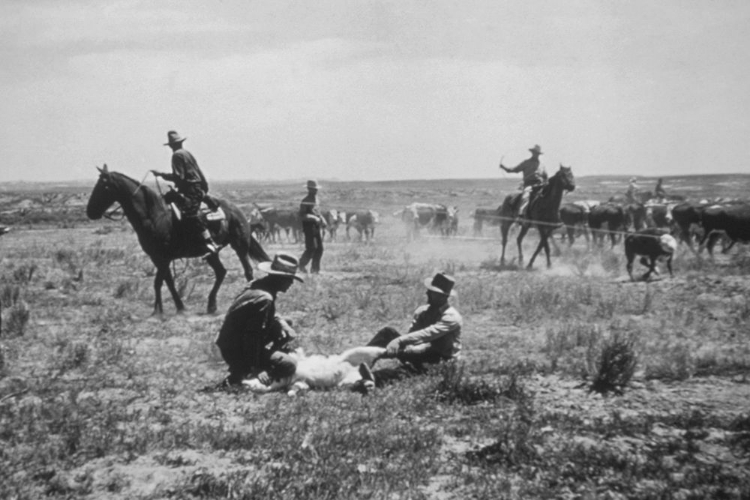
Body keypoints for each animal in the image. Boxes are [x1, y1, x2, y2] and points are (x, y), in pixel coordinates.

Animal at [87, 166, 272, 314]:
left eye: (103, 186)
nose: (90, 212)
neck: (155, 217)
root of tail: (237, 210)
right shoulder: (157, 258)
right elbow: (168, 281)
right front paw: (179, 307)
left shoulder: (163, 258)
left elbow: (158, 282)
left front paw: (158, 310)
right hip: (211, 254)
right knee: (221, 272)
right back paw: (211, 305)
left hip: (240, 246)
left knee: (247, 271)